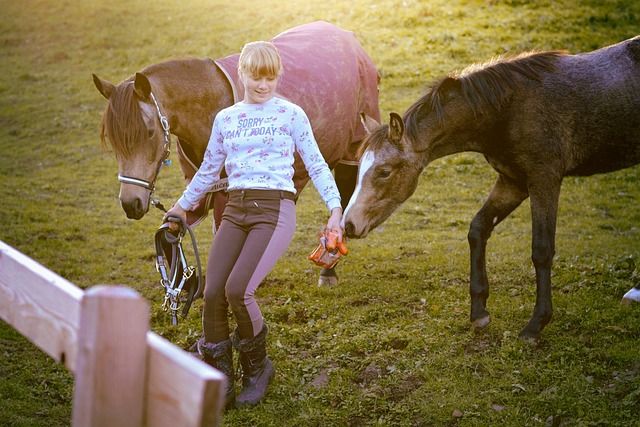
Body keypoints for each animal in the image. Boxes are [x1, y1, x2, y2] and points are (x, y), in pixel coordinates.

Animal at [91, 21, 380, 286]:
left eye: (149, 132)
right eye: (114, 141)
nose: (131, 203)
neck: (210, 108)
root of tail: (348, 37)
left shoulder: (226, 193)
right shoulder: (201, 187)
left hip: (352, 148)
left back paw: (328, 270)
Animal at [342, 36, 640, 342]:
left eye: (384, 171)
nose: (348, 224)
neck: (509, 109)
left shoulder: (544, 179)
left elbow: (542, 249)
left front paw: (536, 324)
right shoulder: (512, 181)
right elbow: (478, 230)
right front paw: (479, 311)